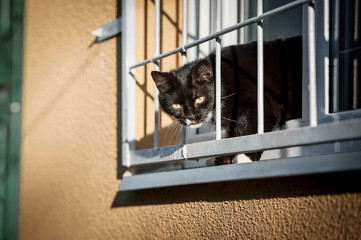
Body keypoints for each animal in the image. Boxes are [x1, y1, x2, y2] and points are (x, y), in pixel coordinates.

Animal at [150, 36, 302, 165]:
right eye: (176, 105)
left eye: (199, 98)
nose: (191, 117)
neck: (224, 81)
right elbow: (232, 137)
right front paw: (221, 159)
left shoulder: (262, 106)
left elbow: (253, 135)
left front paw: (245, 159)